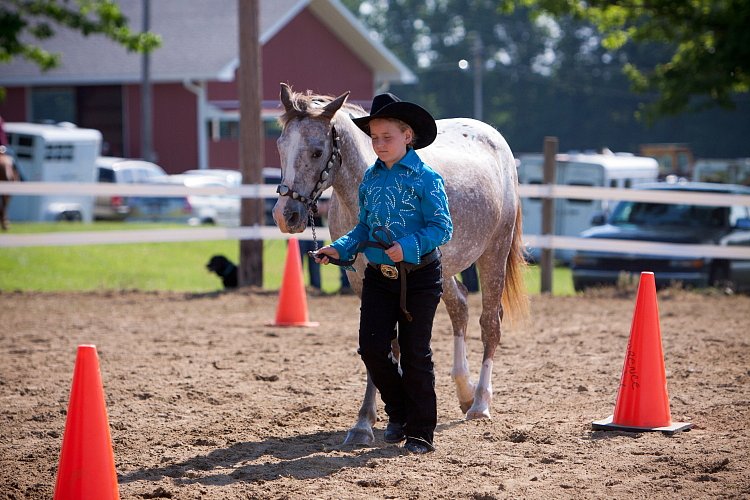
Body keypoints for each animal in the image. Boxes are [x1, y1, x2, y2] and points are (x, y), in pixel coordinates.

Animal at [272, 83, 528, 446]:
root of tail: (493, 136)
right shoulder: (362, 281)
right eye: (281, 146)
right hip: (445, 272)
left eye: (317, 152)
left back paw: (480, 404)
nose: (286, 216)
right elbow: (381, 345)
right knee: (460, 307)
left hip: (494, 253)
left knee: (489, 323)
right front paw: (365, 423)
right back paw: (464, 393)